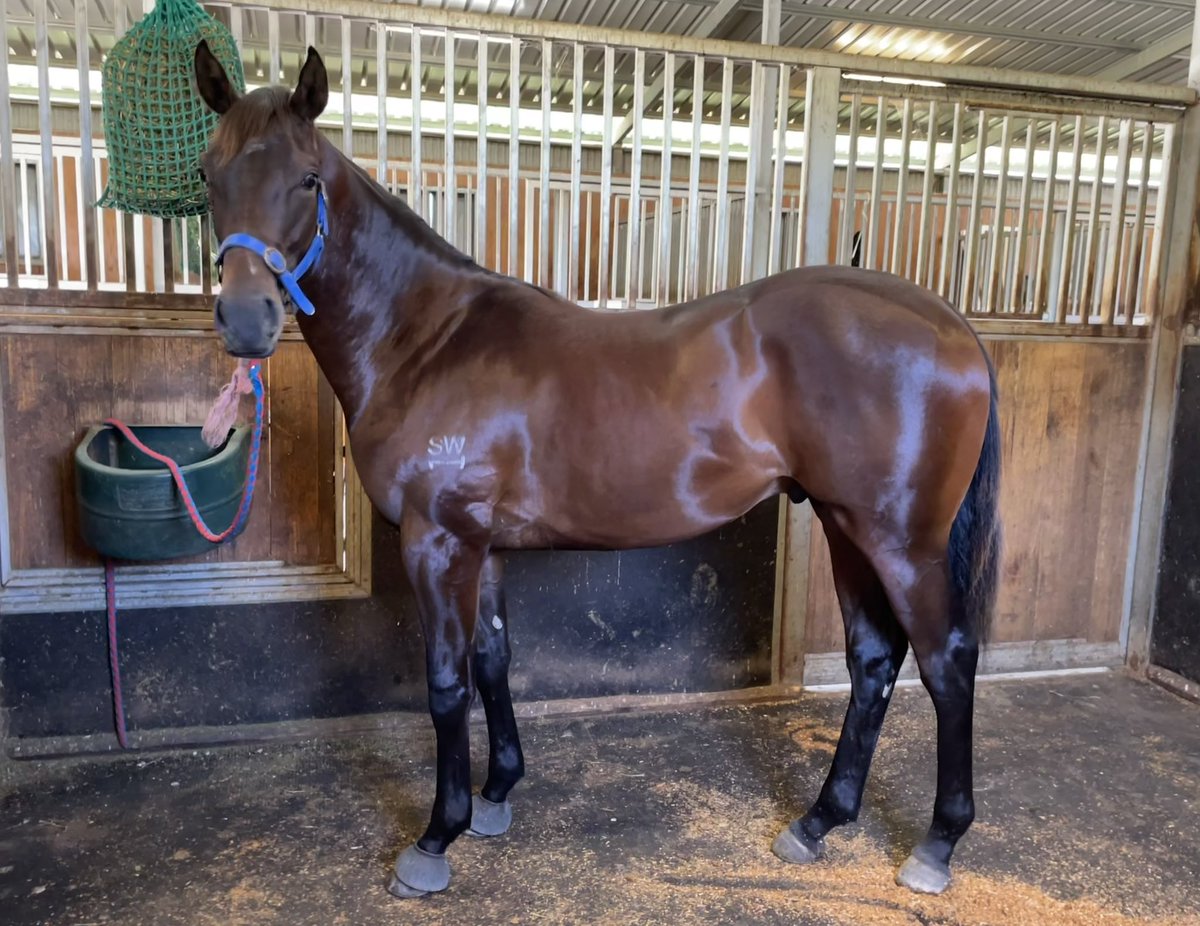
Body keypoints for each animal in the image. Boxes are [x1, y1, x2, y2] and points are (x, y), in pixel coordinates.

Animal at [192, 41, 1001, 899]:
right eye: (208, 173)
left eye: (308, 179)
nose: (246, 322)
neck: (426, 340)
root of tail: (951, 324)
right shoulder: (482, 546)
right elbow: (493, 661)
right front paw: (496, 795)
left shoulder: (436, 542)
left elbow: (446, 684)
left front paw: (436, 838)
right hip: (846, 528)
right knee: (874, 661)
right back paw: (817, 823)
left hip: (902, 542)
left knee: (947, 663)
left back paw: (937, 845)